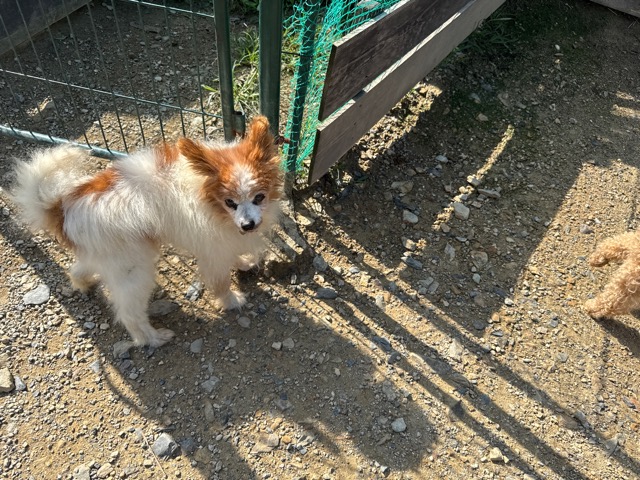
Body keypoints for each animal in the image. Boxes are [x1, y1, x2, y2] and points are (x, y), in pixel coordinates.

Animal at [12, 116, 283, 347]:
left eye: (259, 197)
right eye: (230, 202)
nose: (248, 225)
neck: (207, 197)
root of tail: (64, 205)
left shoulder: (220, 242)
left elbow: (233, 255)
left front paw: (243, 262)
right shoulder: (212, 249)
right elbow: (221, 282)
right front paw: (231, 301)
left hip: (107, 258)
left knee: (78, 268)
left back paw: (83, 284)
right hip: (135, 270)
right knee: (129, 314)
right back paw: (152, 339)